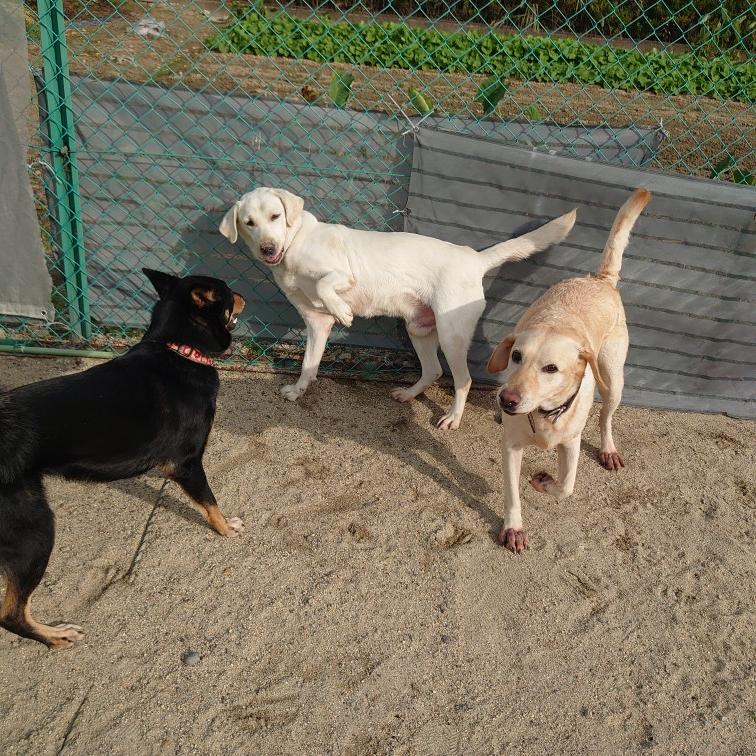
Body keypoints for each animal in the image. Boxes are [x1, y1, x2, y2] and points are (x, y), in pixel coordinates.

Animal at [0, 269, 246, 649]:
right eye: (230, 293)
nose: (245, 295)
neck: (178, 349)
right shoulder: (187, 463)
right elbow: (210, 502)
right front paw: (225, 528)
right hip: (35, 530)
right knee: (11, 614)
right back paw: (55, 635)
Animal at [219, 187, 576, 429]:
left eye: (275, 217)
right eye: (249, 222)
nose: (268, 249)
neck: (295, 244)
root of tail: (474, 258)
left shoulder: (342, 275)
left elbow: (325, 285)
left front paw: (344, 312)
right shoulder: (316, 323)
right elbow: (309, 364)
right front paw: (298, 390)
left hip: (451, 335)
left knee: (462, 380)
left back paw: (453, 417)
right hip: (419, 329)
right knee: (433, 370)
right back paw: (408, 394)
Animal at [486, 188, 651, 553]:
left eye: (551, 368)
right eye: (516, 356)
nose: (507, 400)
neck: (544, 414)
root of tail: (599, 280)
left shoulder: (571, 443)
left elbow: (566, 486)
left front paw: (543, 481)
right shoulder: (511, 447)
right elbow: (512, 494)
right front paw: (514, 528)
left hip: (613, 380)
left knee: (606, 418)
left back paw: (608, 449)